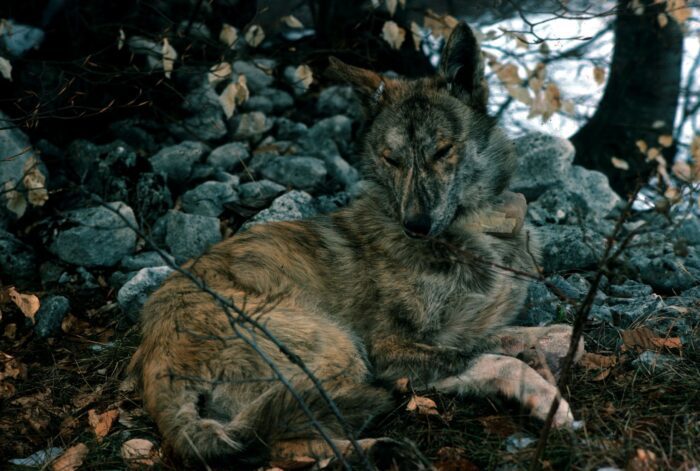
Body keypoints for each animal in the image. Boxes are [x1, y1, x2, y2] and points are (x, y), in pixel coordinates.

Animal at [129, 23, 584, 468]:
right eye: (391, 159)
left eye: (442, 151)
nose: (415, 226)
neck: (474, 227)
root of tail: (158, 358)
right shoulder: (388, 350)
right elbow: (496, 359)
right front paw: (547, 398)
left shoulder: (457, 332)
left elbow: (513, 337)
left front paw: (557, 338)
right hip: (338, 345)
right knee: (273, 441)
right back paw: (379, 450)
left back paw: (379, 450)